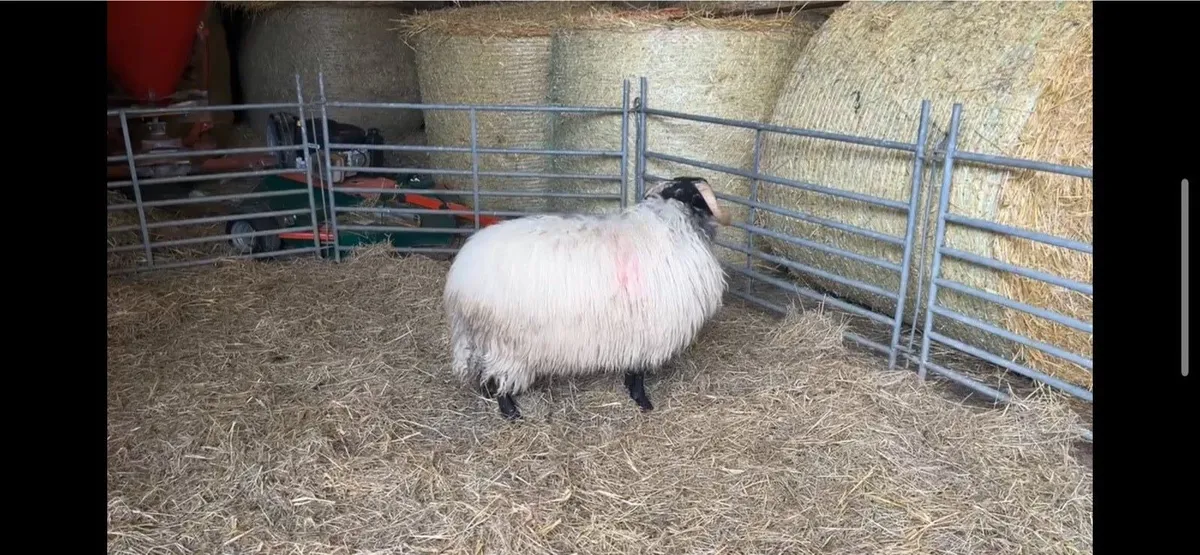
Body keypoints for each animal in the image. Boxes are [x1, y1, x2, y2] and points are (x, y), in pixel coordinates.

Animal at [441, 176, 734, 419]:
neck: (672, 224)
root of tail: (461, 279)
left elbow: (632, 368)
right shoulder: (647, 330)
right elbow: (638, 372)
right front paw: (642, 401)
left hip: (481, 339)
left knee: (484, 373)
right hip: (506, 343)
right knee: (499, 378)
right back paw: (511, 412)